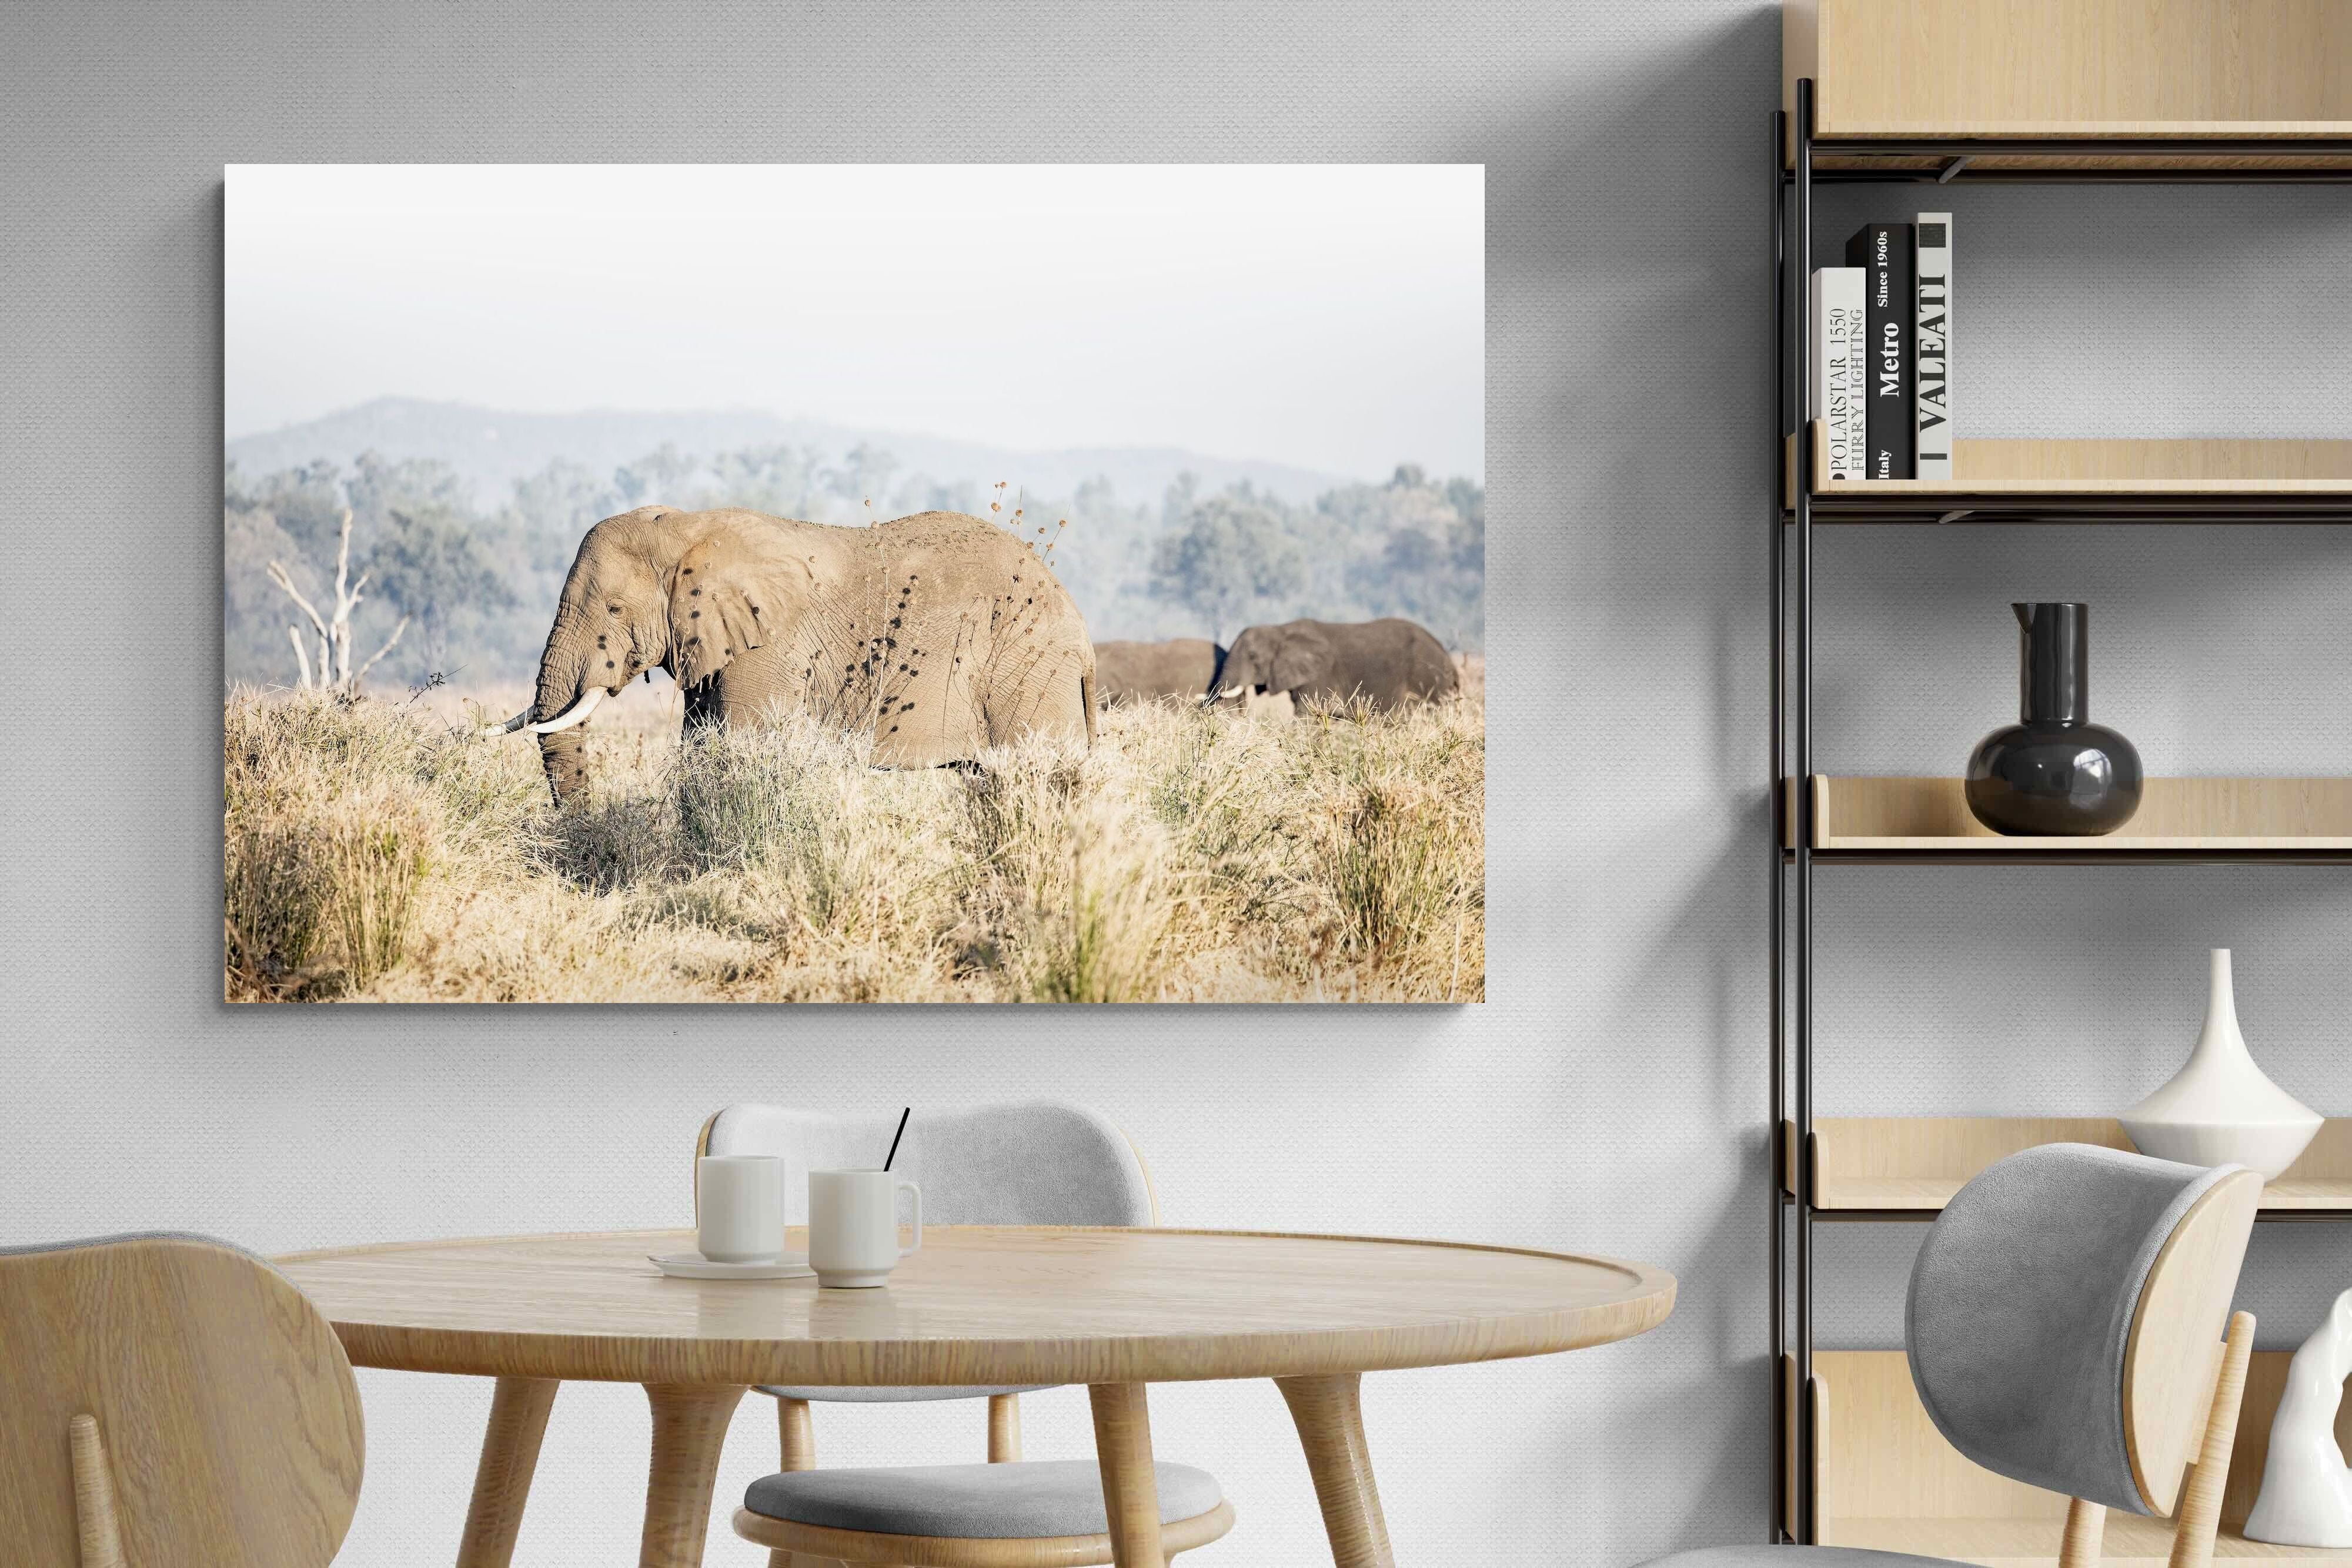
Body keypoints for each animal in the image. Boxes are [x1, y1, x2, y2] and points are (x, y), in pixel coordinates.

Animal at [483, 506, 1095, 803]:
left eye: (612, 609)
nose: (582, 851)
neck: (687, 527)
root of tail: (1082, 634)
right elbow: (701, 751)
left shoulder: (768, 648)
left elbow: (740, 751)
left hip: (1027, 668)